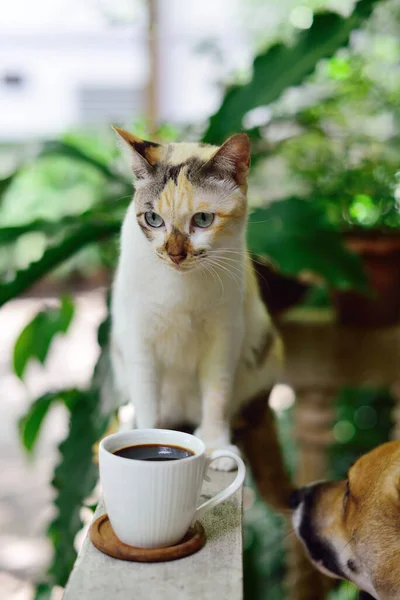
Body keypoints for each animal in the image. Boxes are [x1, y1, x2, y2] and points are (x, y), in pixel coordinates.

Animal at [111, 129, 282, 472]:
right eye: (153, 218)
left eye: (203, 219)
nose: (175, 254)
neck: (181, 289)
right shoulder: (139, 340)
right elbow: (146, 400)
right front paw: (146, 436)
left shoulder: (224, 336)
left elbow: (217, 397)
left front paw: (217, 446)